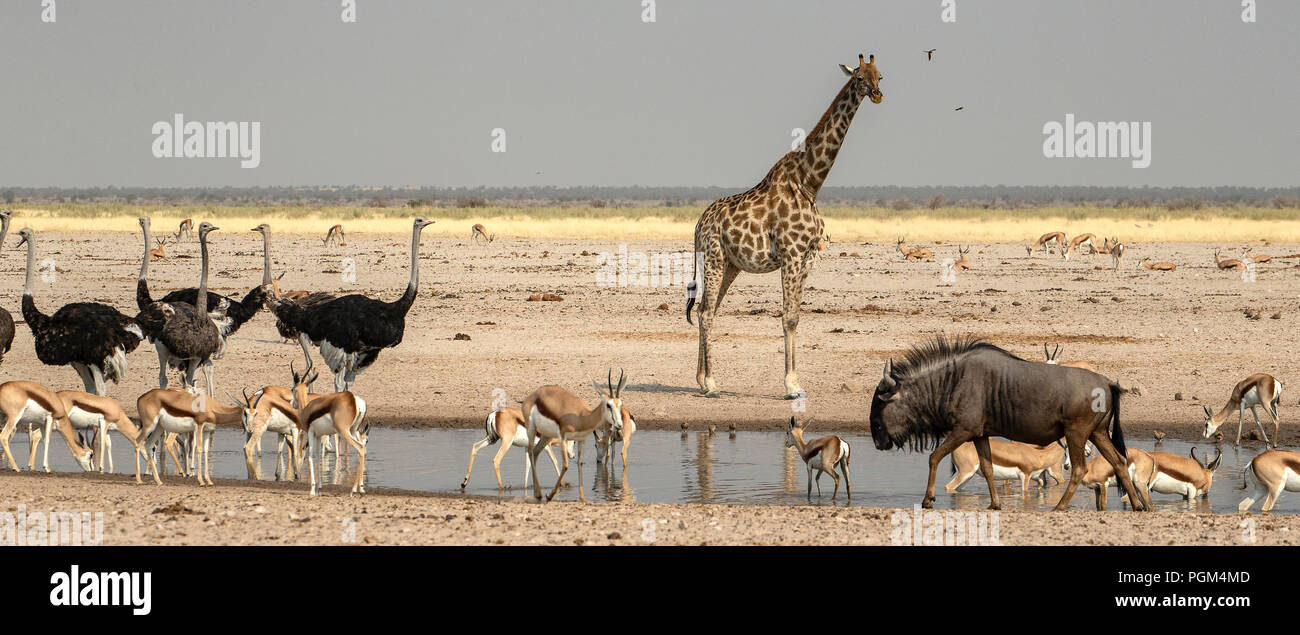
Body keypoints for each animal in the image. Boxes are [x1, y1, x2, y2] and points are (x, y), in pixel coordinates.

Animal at [681, 53, 883, 395]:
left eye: (880, 75)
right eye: (859, 78)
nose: (878, 95)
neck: (810, 183)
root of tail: (698, 224)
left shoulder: (808, 257)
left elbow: (795, 316)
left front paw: (796, 382)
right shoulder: (791, 254)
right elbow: (787, 317)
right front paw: (790, 386)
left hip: (730, 264)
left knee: (706, 309)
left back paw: (699, 378)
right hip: (714, 258)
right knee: (706, 312)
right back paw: (711, 382)